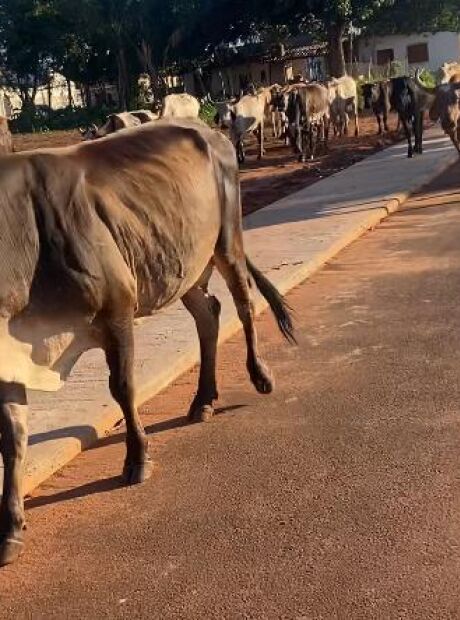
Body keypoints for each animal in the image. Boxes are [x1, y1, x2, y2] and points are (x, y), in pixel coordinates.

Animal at [0, 120, 294, 568]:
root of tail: (209, 130)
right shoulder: (10, 358)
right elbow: (13, 438)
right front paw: (10, 529)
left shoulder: (118, 311)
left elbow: (122, 388)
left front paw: (138, 460)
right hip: (183, 264)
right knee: (209, 314)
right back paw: (203, 400)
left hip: (227, 241)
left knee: (244, 304)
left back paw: (259, 375)